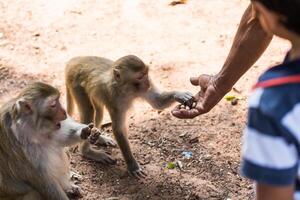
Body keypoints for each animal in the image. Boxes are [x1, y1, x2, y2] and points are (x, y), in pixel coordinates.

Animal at [65, 54, 195, 178]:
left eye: (146, 74)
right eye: (139, 77)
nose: (148, 82)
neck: (125, 89)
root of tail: (74, 61)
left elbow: (157, 102)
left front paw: (180, 95)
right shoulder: (114, 97)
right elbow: (118, 129)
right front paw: (133, 166)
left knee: (98, 110)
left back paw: (97, 137)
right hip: (76, 85)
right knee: (89, 110)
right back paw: (87, 151)